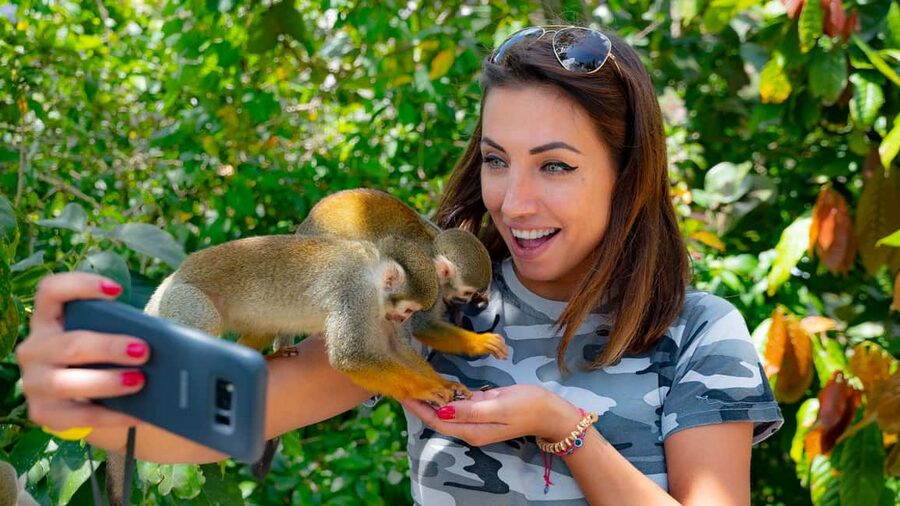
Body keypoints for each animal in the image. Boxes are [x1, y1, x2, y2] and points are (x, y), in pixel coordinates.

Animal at [296, 188, 508, 361]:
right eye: (467, 292)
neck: (432, 252)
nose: (465, 301)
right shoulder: (428, 284)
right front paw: (481, 343)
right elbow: (424, 326)